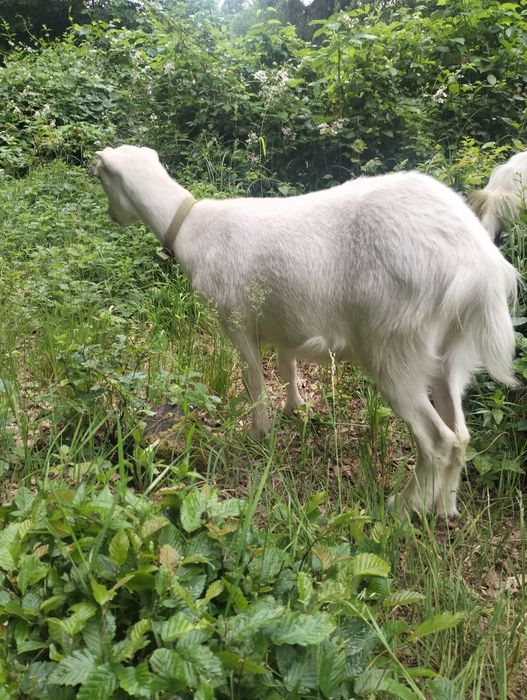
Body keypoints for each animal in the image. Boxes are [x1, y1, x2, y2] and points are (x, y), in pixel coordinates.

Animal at [95, 145, 517, 518]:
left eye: (100, 177)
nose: (113, 216)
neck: (192, 228)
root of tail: (479, 265)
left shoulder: (236, 321)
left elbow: (253, 380)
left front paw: (259, 433)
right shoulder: (284, 322)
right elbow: (286, 367)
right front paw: (295, 408)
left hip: (397, 345)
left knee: (438, 440)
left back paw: (403, 507)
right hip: (451, 349)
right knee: (460, 435)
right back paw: (445, 507)